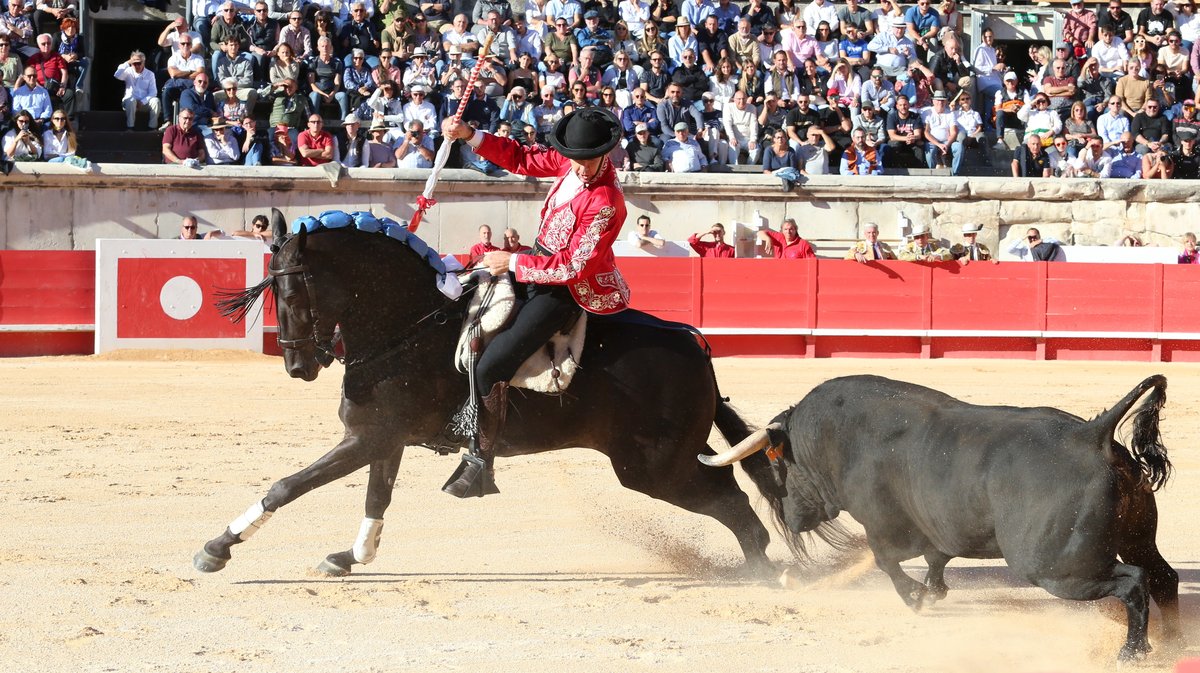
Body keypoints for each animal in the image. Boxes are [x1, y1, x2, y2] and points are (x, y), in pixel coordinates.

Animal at [192, 211, 806, 578]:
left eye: (296, 294)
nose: (297, 365)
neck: (409, 326)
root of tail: (695, 347)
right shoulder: (383, 439)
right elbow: (376, 499)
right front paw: (350, 556)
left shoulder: (368, 438)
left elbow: (288, 485)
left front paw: (216, 548)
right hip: (666, 462)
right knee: (735, 498)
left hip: (653, 467)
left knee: (733, 503)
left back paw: (765, 574)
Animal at [700, 371, 1180, 662]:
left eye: (778, 463)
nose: (792, 519)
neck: (839, 438)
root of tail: (1091, 434)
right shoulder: (936, 526)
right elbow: (935, 558)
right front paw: (933, 592)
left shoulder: (883, 525)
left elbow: (887, 561)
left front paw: (916, 597)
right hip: (1137, 536)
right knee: (1163, 576)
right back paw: (1175, 641)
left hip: (1056, 568)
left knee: (1133, 581)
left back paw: (1133, 653)